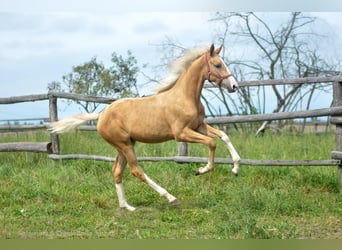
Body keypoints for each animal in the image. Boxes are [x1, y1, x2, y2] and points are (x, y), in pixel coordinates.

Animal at [48, 45, 240, 211]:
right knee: (136, 171)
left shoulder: (199, 126)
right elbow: (211, 142)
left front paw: (235, 169)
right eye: (218, 64)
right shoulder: (181, 133)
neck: (185, 97)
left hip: (125, 145)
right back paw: (170, 197)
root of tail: (101, 116)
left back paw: (127, 206)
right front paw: (201, 170)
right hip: (125, 145)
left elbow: (223, 136)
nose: (234, 86)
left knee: (117, 171)